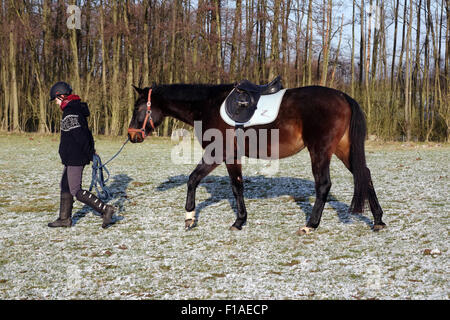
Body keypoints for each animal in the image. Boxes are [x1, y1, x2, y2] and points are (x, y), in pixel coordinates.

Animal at [127, 81, 386, 234]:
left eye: (138, 108)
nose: (131, 135)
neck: (208, 105)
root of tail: (343, 97)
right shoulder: (231, 155)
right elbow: (236, 186)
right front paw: (240, 220)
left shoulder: (219, 153)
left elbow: (200, 181)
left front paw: (192, 218)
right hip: (343, 149)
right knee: (364, 174)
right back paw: (378, 220)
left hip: (320, 151)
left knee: (323, 185)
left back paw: (310, 225)